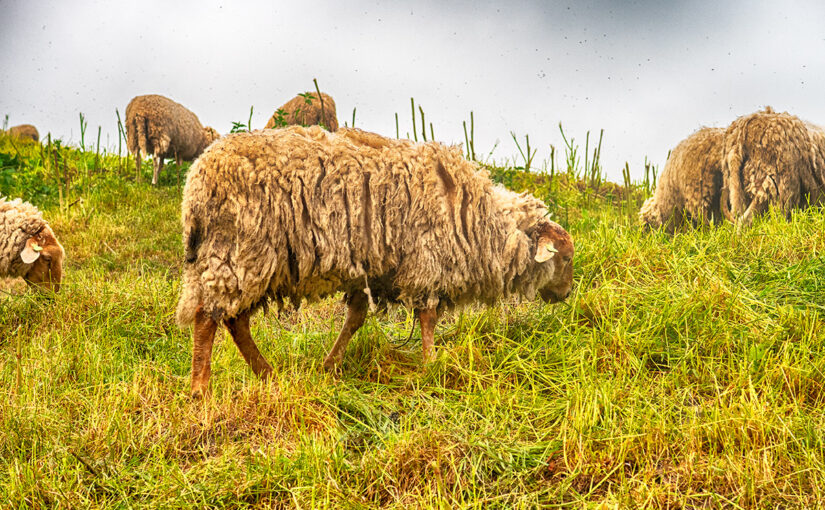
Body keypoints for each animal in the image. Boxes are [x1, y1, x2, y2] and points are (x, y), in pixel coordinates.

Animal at [176, 126, 574, 396]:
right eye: (565, 258)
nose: (567, 294)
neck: (481, 221)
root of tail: (196, 181)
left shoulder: (371, 270)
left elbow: (355, 320)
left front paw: (330, 365)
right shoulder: (426, 260)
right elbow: (428, 318)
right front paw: (431, 364)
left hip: (239, 258)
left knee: (235, 320)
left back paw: (266, 373)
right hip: (238, 250)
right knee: (207, 316)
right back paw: (201, 388)